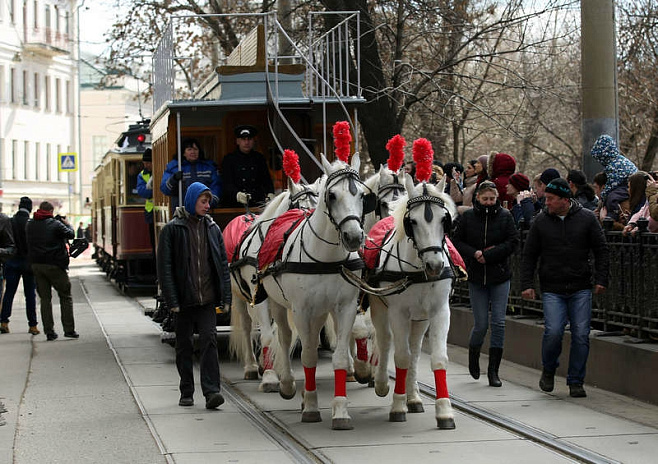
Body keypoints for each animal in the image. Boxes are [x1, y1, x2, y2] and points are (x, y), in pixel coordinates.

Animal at [227, 179, 320, 392]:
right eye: (301, 206)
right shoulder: (260, 299)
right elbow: (268, 336)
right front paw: (270, 378)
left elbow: (281, 335)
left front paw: (280, 370)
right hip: (238, 296)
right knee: (247, 326)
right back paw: (252, 366)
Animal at [260, 154, 368, 430]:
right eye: (331, 195)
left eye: (363, 195)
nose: (353, 237)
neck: (325, 257)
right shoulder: (302, 310)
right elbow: (308, 356)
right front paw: (310, 405)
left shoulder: (345, 307)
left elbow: (339, 357)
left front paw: (340, 411)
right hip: (279, 304)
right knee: (284, 337)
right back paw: (287, 384)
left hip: (320, 311)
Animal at [368, 176, 456, 430]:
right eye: (412, 221)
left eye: (444, 219)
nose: (435, 265)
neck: (418, 270)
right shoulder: (398, 313)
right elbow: (401, 357)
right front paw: (397, 405)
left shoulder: (439, 311)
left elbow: (437, 359)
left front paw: (444, 411)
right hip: (380, 308)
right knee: (386, 340)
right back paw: (382, 383)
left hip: (420, 318)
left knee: (415, 350)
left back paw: (414, 396)